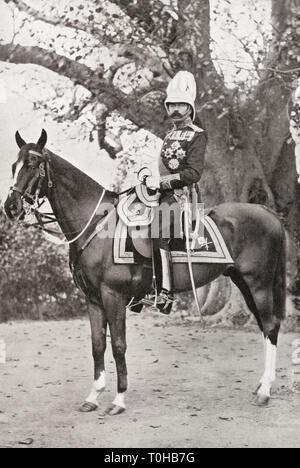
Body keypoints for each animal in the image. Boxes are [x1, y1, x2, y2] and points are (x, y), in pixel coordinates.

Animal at [4, 130, 286, 414]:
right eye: (14, 166)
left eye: (33, 165)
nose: (11, 207)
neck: (96, 225)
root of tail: (266, 211)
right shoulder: (93, 299)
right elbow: (97, 345)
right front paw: (93, 396)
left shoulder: (113, 296)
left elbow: (118, 345)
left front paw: (118, 400)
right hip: (243, 283)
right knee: (265, 328)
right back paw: (261, 385)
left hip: (259, 285)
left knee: (270, 326)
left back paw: (265, 392)